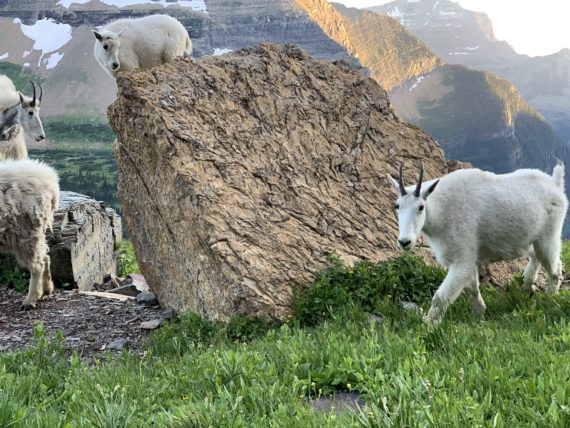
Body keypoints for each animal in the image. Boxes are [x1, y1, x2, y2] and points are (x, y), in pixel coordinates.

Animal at [384, 162, 564, 322]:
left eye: (421, 207)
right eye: (397, 206)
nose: (404, 242)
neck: (441, 210)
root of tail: (556, 184)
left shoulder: (462, 257)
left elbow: (440, 297)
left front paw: (428, 325)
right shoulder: (468, 258)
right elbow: (473, 288)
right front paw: (479, 314)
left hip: (549, 235)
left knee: (555, 269)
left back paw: (550, 299)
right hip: (532, 240)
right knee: (536, 257)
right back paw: (527, 288)